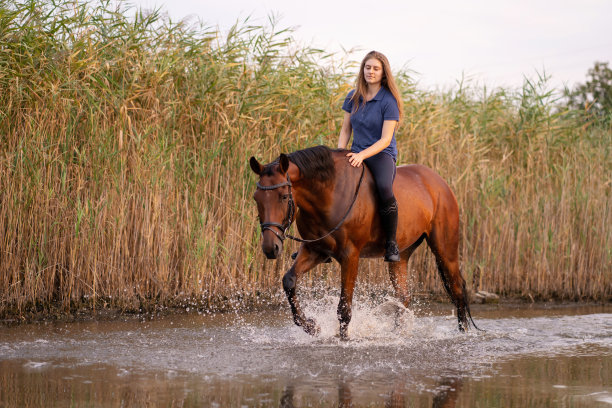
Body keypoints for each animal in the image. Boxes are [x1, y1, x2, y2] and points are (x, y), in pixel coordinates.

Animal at [249, 146, 478, 338]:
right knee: (403, 297)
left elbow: (344, 307)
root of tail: (439, 182)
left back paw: (463, 333)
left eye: (283, 196)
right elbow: (289, 281)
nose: (270, 248)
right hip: (402, 254)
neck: (329, 194)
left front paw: (343, 339)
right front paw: (312, 326)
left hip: (445, 250)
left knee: (457, 289)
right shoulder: (315, 250)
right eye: (256, 198)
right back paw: (396, 335)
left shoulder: (350, 256)